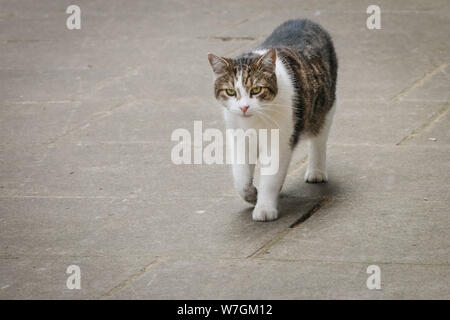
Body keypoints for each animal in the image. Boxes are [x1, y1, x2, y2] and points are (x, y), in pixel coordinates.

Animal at [208, 18, 338, 221]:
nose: (244, 107)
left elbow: (270, 178)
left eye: (256, 90)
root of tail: (304, 20)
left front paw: (264, 208)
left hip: (326, 106)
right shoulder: (238, 139)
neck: (254, 121)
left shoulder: (280, 141)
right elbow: (240, 176)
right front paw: (251, 194)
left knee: (319, 138)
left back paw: (316, 171)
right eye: (230, 92)